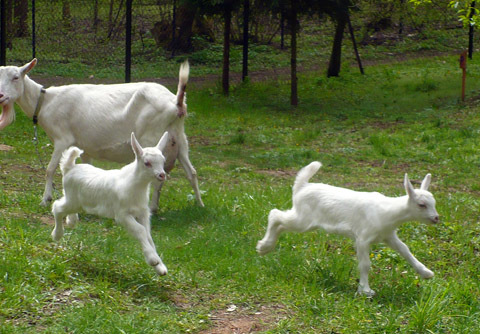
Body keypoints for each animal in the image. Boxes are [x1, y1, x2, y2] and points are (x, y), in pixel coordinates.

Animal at [0, 59, 203, 211]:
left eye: (16, 77)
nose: (1, 96)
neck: (45, 101)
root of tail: (176, 103)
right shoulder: (83, 146)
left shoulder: (62, 139)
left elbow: (49, 169)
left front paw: (45, 200)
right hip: (179, 137)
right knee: (191, 172)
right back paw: (199, 205)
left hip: (153, 138)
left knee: (158, 176)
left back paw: (152, 208)